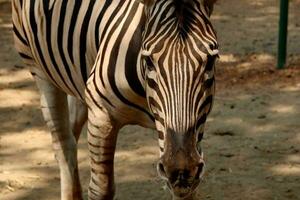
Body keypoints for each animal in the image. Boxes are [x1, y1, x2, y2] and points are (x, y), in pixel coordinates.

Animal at [12, 0, 218, 198]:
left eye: (211, 61)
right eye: (149, 61)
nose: (181, 170)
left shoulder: (188, 130)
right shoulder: (101, 114)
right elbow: (101, 189)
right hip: (39, 69)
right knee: (64, 145)